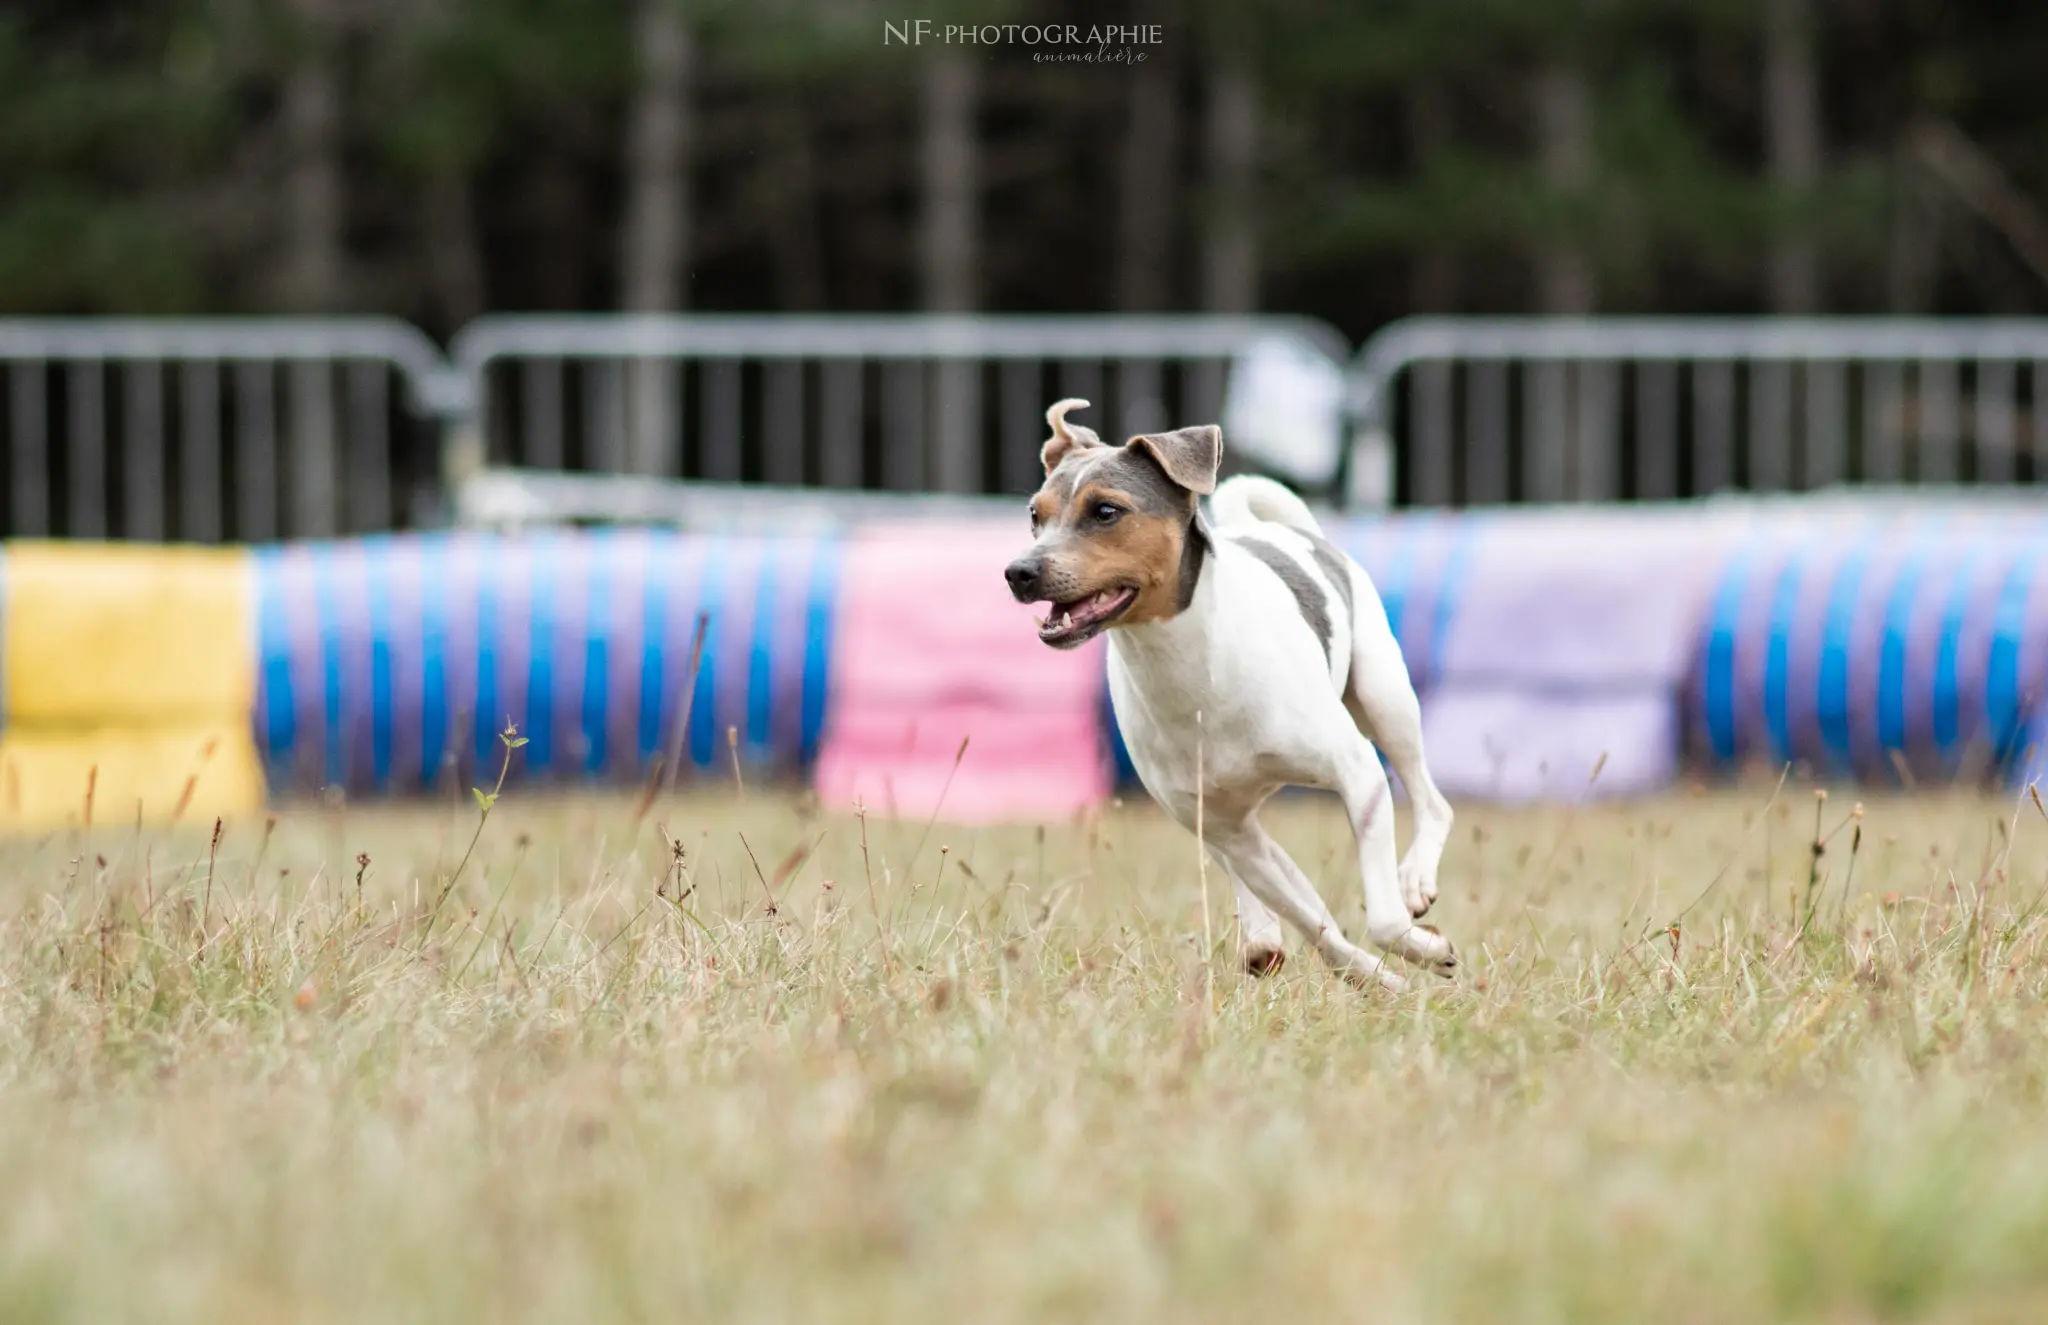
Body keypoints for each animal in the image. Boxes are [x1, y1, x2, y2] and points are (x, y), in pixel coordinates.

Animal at [1003, 399, 1458, 991]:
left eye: (1105, 511)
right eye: (1035, 515)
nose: (1019, 571)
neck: (1189, 666)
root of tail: (1294, 533)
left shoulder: (1358, 772)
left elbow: (1381, 919)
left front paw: (1424, 949)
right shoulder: (1222, 827)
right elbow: (1315, 923)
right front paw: (1378, 975)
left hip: (1385, 699)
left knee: (1431, 801)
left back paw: (1414, 881)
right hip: (1228, 824)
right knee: (1290, 899)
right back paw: (1277, 943)